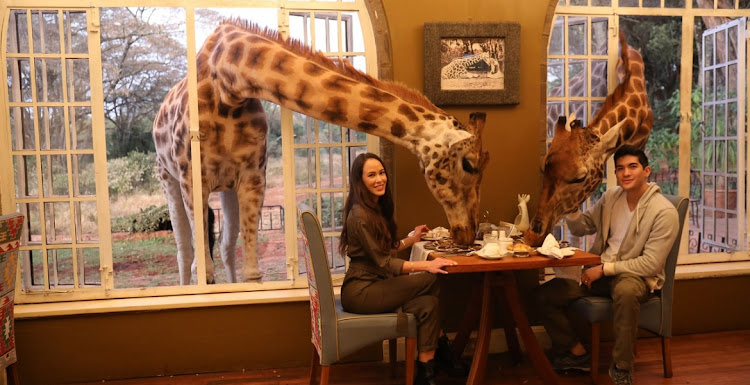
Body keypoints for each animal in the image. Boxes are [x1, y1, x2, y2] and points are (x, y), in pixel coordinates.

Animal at [155, 18, 490, 282]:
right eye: (468, 165)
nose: (467, 234)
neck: (229, 80)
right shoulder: (192, 178)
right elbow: (201, 266)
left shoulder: (252, 175)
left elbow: (251, 270)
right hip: (169, 179)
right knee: (186, 253)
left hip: (225, 188)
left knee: (225, 248)